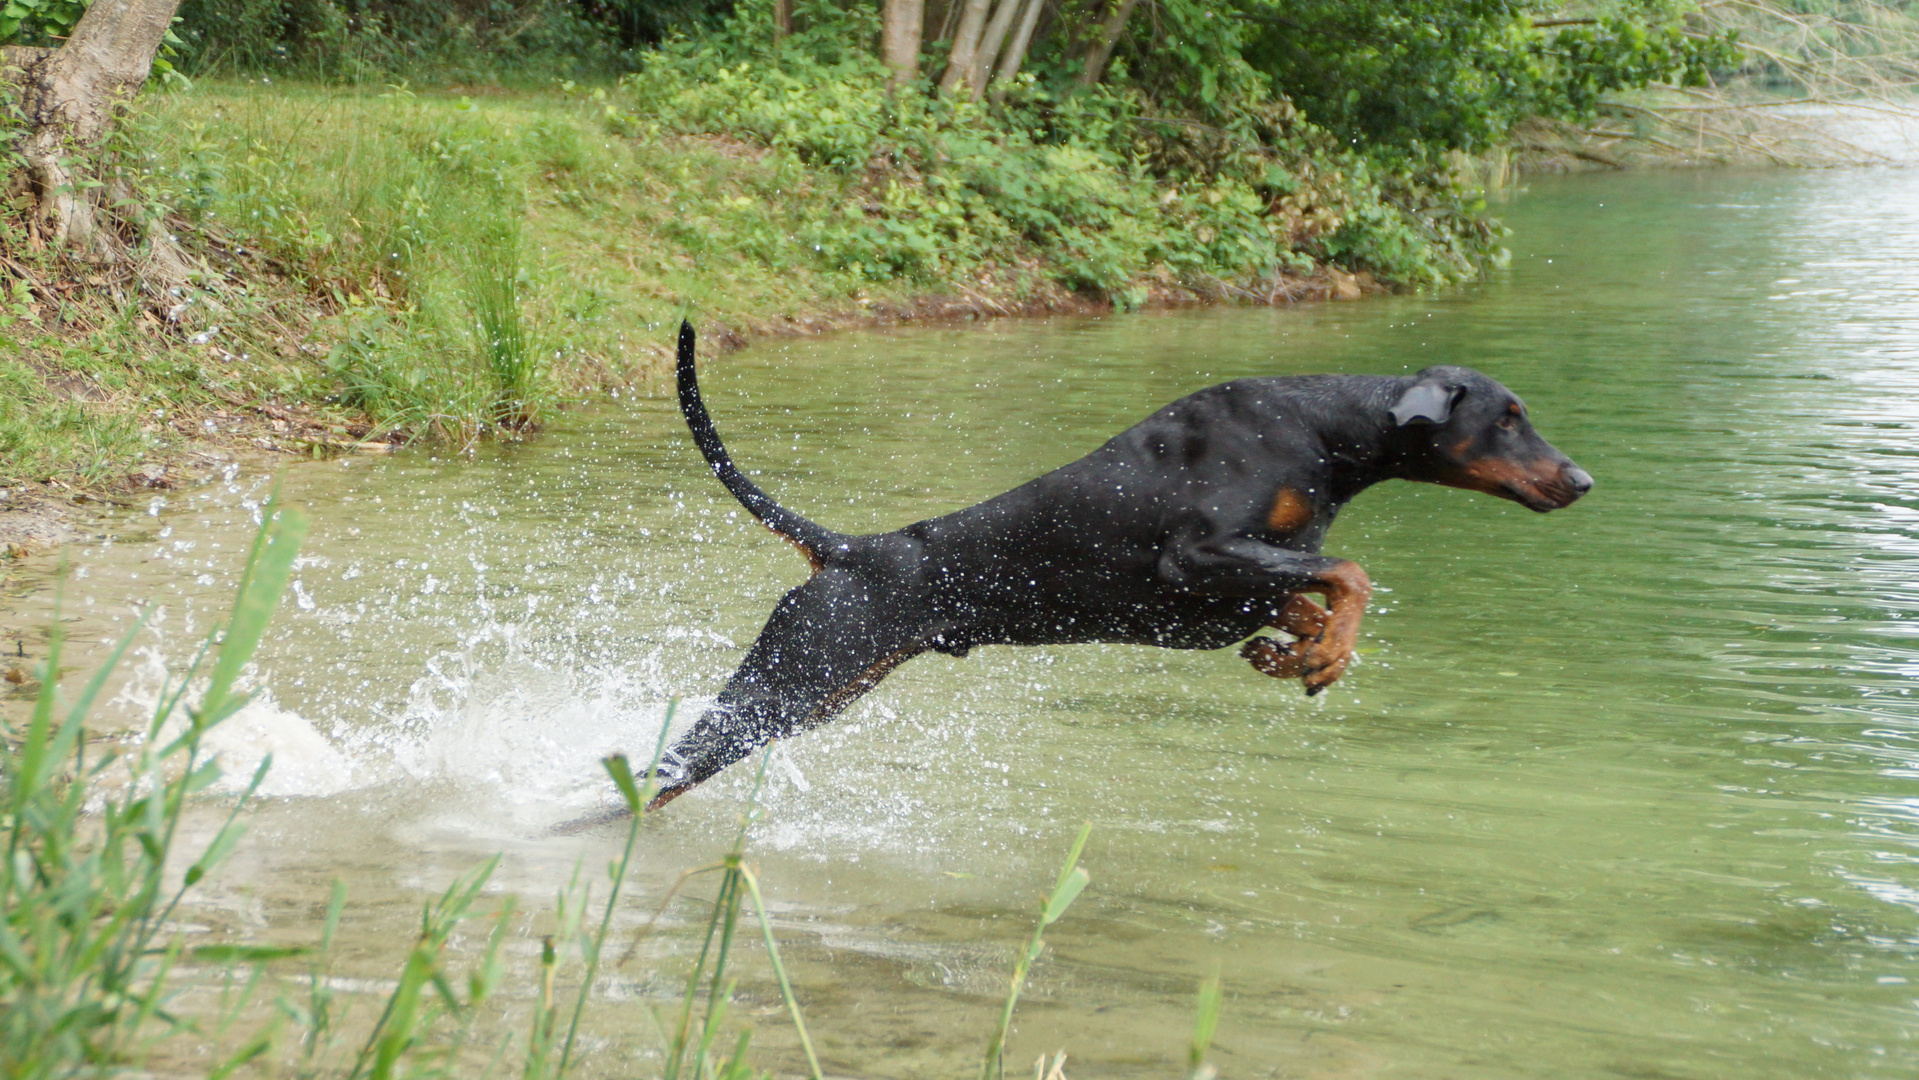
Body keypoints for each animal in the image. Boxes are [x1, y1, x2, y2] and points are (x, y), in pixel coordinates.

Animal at [644, 324, 1588, 813]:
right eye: (1508, 417)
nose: (1580, 480)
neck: (1320, 428)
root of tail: (851, 548)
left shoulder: (1237, 586)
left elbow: (1309, 592)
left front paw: (1296, 654)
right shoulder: (1192, 558)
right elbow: (1350, 572)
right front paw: (1318, 656)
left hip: (818, 696)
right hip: (785, 682)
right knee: (660, 775)